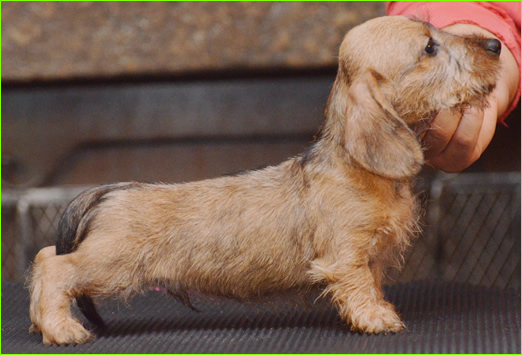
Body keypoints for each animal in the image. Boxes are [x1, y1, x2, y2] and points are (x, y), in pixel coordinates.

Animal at [28, 16, 500, 344]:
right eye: (429, 47)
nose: (496, 44)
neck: (359, 169)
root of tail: (112, 191)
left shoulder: (373, 256)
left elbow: (374, 282)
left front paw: (380, 307)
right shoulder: (345, 255)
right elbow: (357, 285)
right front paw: (375, 318)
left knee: (44, 256)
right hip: (112, 264)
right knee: (53, 265)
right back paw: (60, 328)